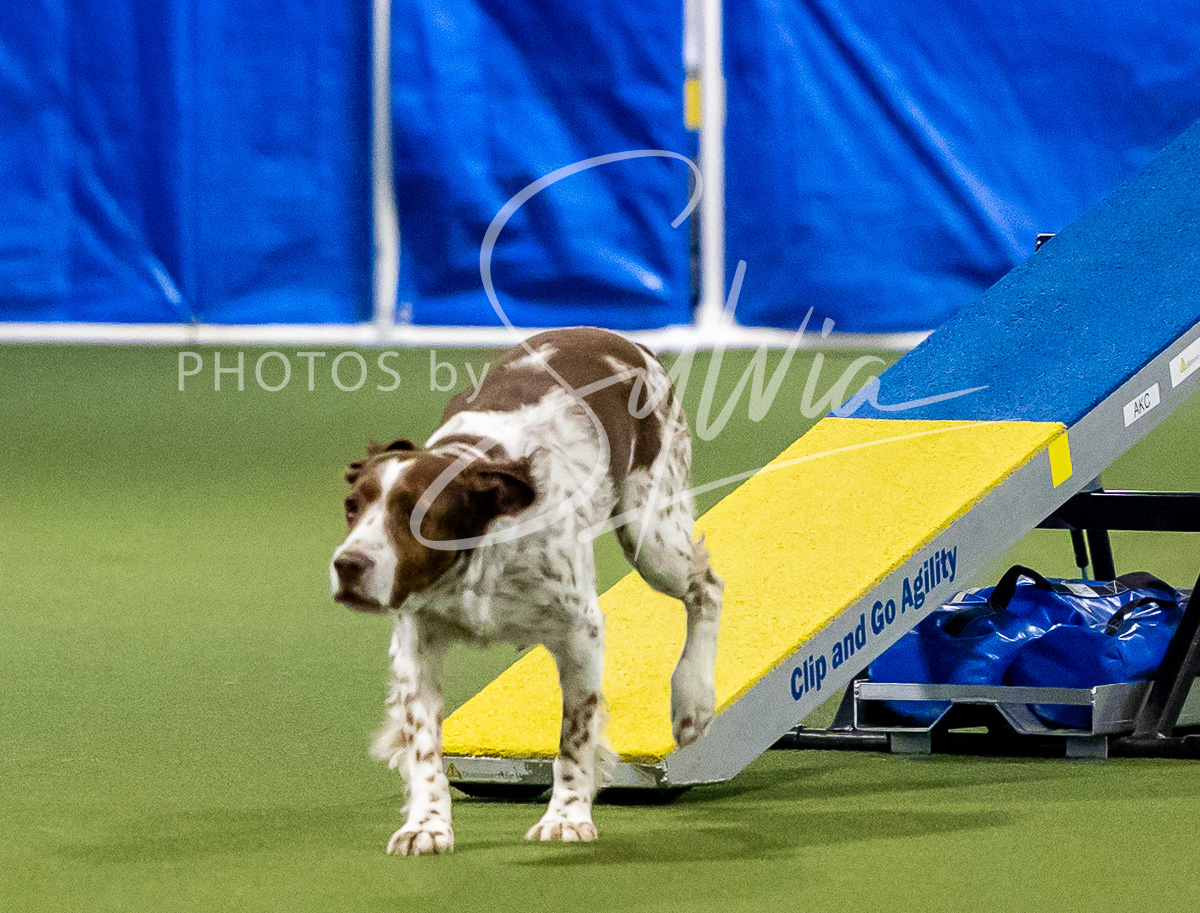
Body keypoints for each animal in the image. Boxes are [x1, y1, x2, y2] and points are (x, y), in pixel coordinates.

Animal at [329, 327, 723, 855]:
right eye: (352, 507)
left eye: (418, 514)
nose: (347, 565)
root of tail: (624, 340)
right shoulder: (416, 642)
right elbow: (423, 745)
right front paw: (426, 826)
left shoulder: (580, 631)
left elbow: (574, 738)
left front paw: (567, 818)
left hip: (654, 535)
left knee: (708, 587)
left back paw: (692, 703)